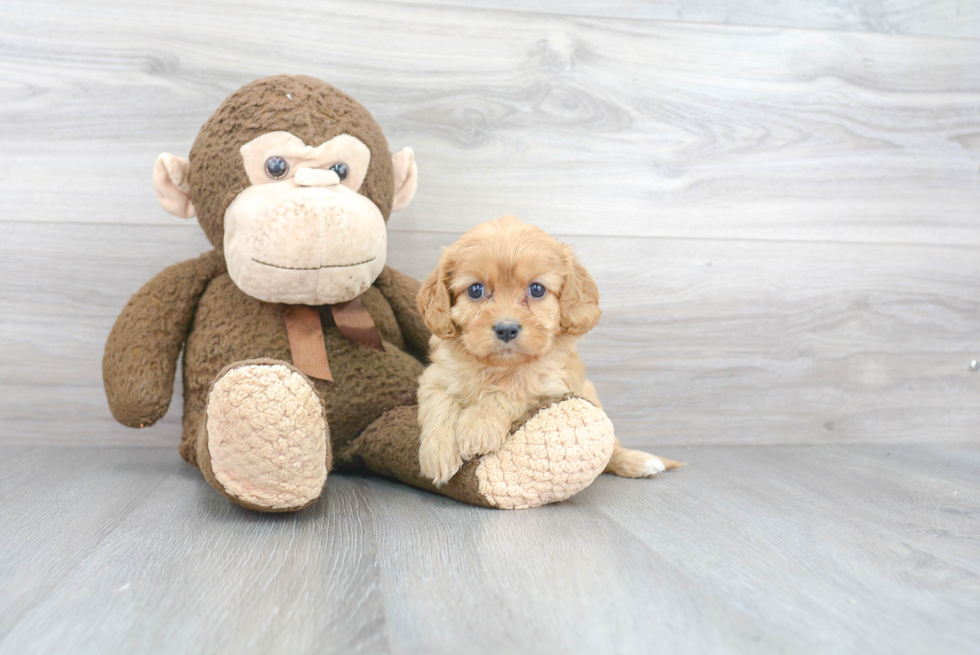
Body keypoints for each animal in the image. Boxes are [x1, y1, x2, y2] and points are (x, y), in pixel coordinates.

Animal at [414, 215, 680, 486]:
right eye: (475, 290)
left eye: (537, 289)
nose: (506, 329)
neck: (498, 367)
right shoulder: (434, 377)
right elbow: (439, 402)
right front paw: (437, 453)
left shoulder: (549, 381)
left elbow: (513, 388)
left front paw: (479, 425)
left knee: (611, 448)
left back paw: (638, 461)